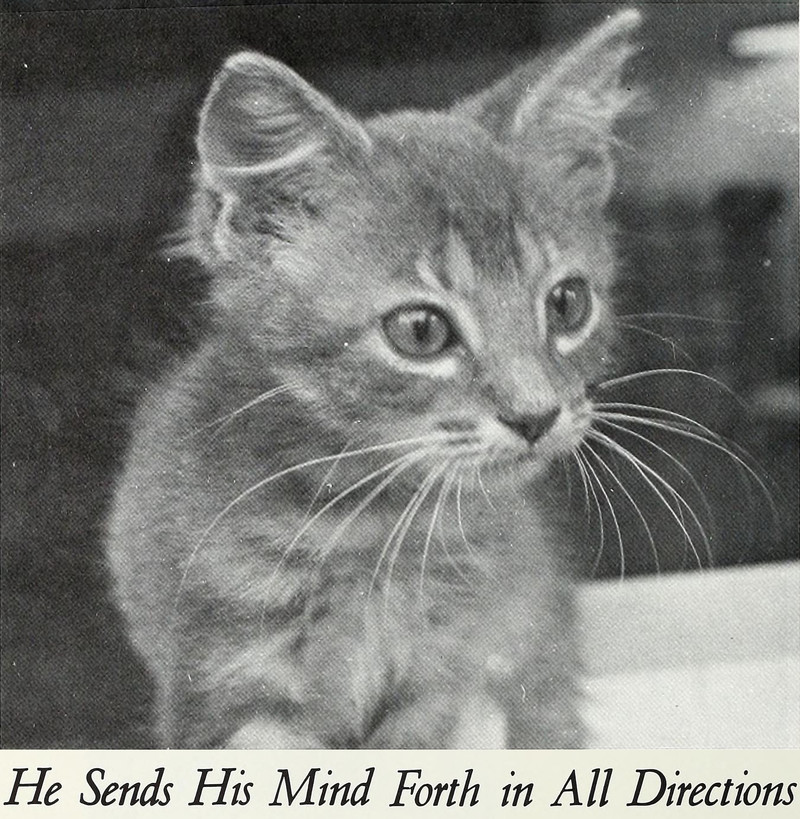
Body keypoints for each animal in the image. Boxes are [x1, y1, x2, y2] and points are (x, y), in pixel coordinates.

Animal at [106, 9, 642, 749]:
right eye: (420, 331)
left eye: (567, 303)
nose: (536, 414)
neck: (367, 525)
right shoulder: (223, 686)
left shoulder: (442, 673)